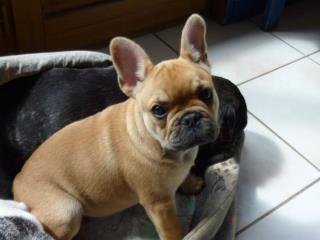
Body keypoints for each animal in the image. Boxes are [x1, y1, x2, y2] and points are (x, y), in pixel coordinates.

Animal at [13, 15, 219, 240]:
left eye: (206, 93)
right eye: (158, 110)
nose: (190, 118)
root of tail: (18, 181)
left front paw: (191, 183)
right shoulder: (160, 204)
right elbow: (172, 229)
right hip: (67, 211)